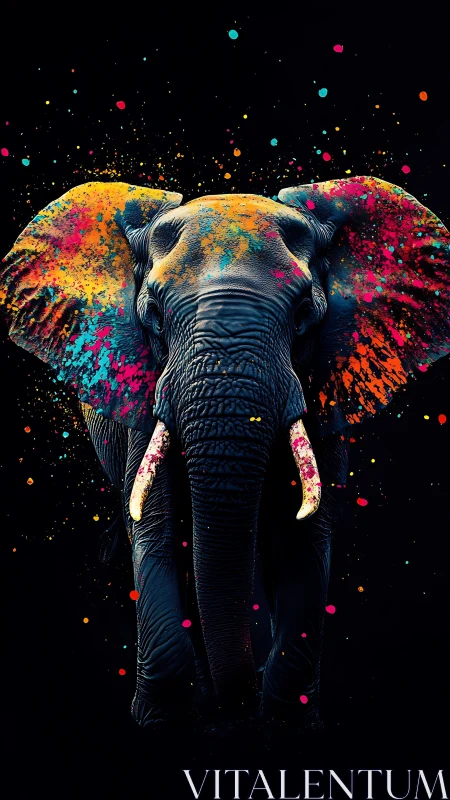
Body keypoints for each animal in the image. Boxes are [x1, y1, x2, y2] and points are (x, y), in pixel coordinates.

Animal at [1, 178, 449, 732]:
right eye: (154, 318)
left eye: (304, 317)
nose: (238, 701)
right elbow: (156, 529)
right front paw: (168, 719)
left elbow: (304, 539)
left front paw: (286, 718)